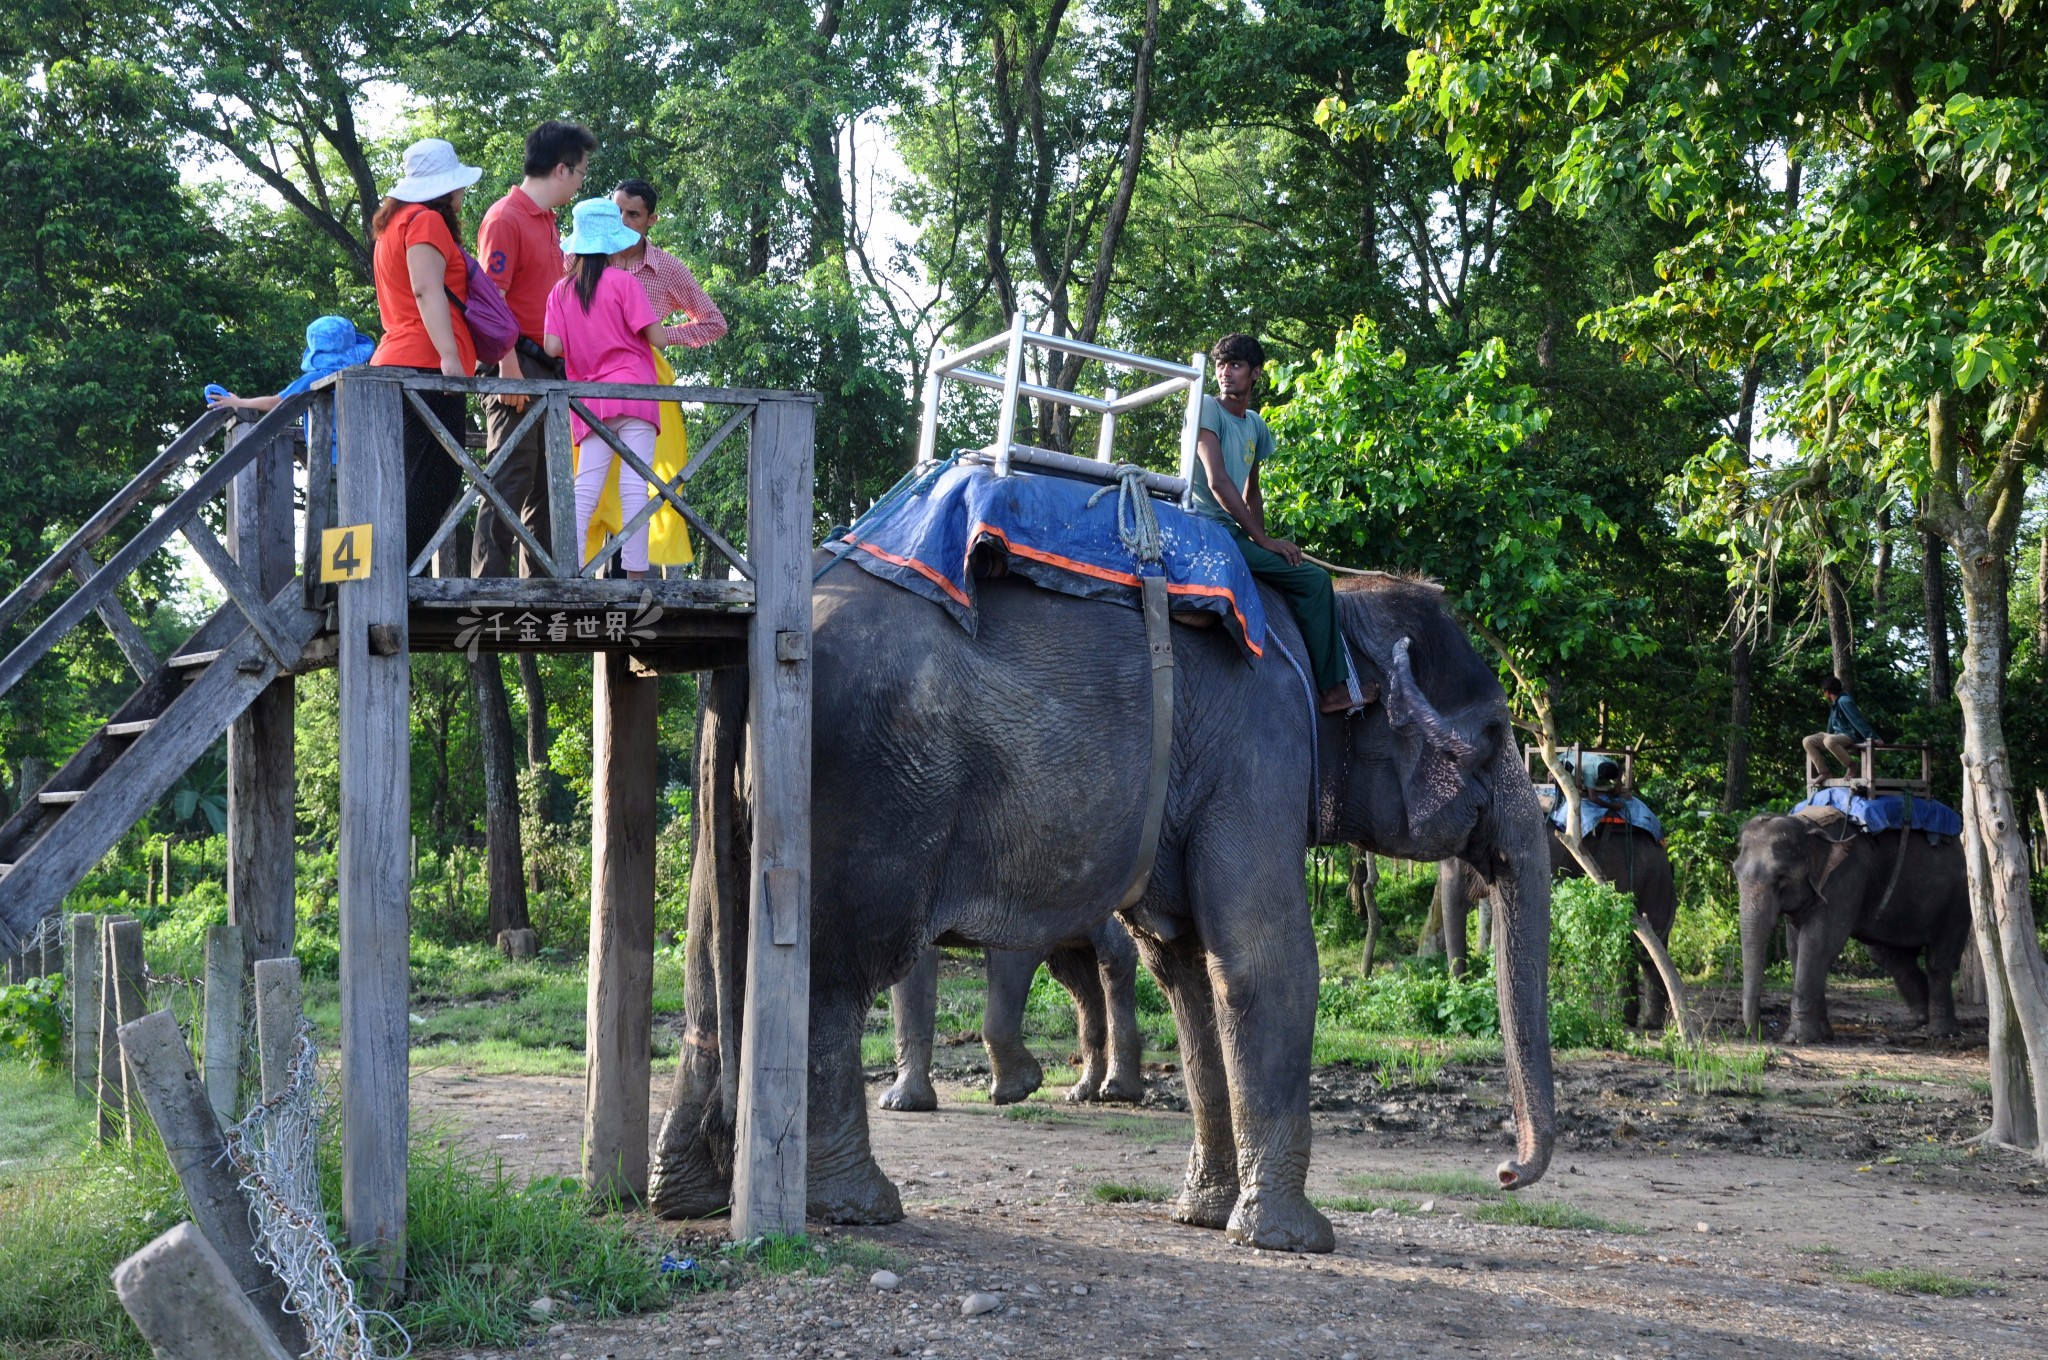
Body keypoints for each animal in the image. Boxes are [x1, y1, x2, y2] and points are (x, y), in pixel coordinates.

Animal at [872, 913, 1146, 1114]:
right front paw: (901, 1104)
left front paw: (1014, 1091)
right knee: (1077, 976)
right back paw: (1082, 1093)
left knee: (1113, 959)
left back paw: (1116, 1091)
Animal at [1441, 819, 1679, 1032]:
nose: (1462, 993)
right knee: (1626, 948)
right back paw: (1626, 1021)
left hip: (1655, 882)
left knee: (1646, 950)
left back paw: (1650, 1024)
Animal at [1736, 806, 1974, 1040]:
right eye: (1736, 873)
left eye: (1781, 877)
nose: (1762, 1034)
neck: (1807, 825)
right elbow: (1796, 947)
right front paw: (1824, 1036)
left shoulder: (1847, 877)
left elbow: (1817, 943)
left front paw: (1798, 1039)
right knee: (1890, 957)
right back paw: (1919, 1020)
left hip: (1959, 897)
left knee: (1938, 960)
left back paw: (1941, 1032)